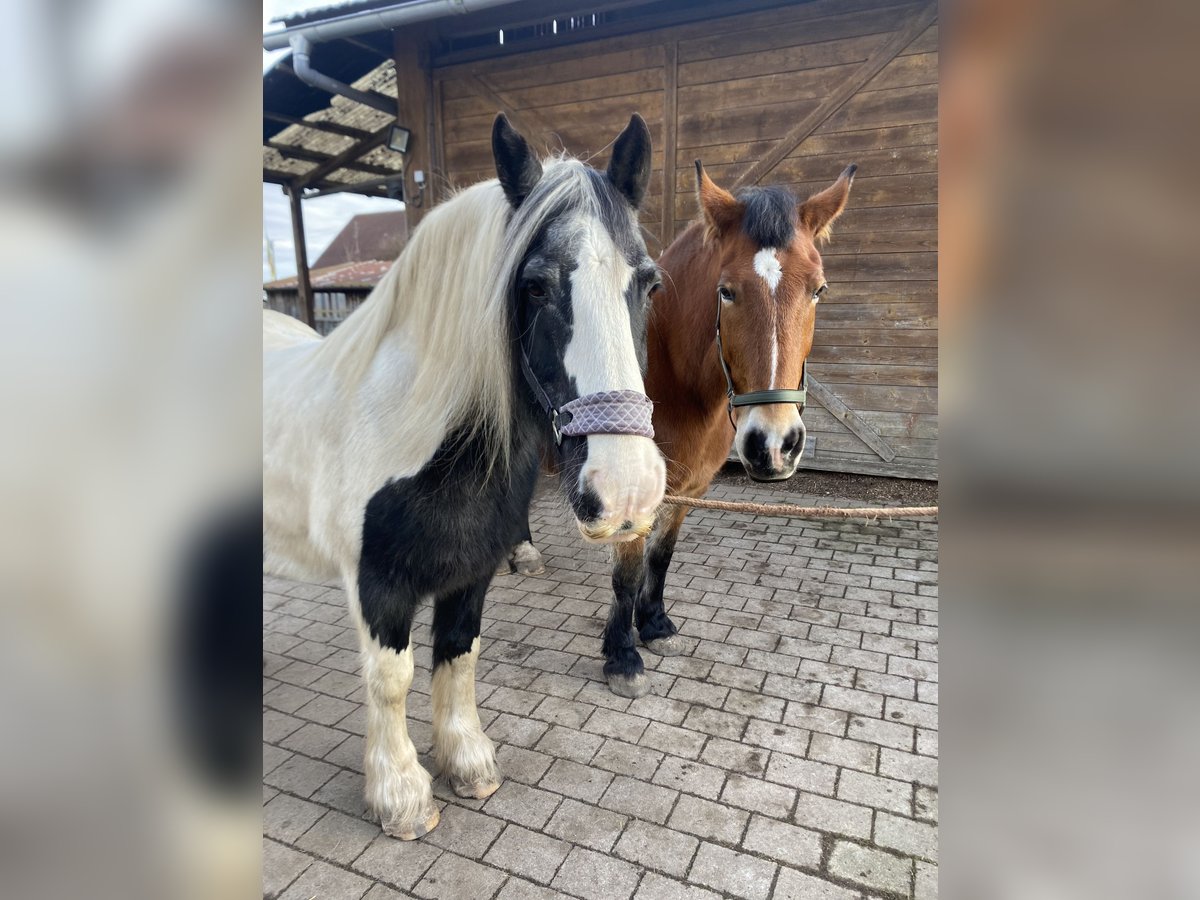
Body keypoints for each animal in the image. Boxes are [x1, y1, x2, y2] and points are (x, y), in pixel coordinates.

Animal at [263, 113, 666, 839]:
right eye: (535, 286)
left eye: (648, 284)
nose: (627, 490)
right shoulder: (378, 585)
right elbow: (391, 679)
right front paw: (401, 797)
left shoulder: (472, 571)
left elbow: (459, 655)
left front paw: (468, 763)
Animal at [504, 161, 856, 697]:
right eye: (726, 291)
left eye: (818, 289)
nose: (774, 445)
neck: (672, 380)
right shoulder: (631, 492)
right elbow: (628, 572)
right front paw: (622, 656)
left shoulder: (691, 488)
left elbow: (661, 558)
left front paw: (654, 625)